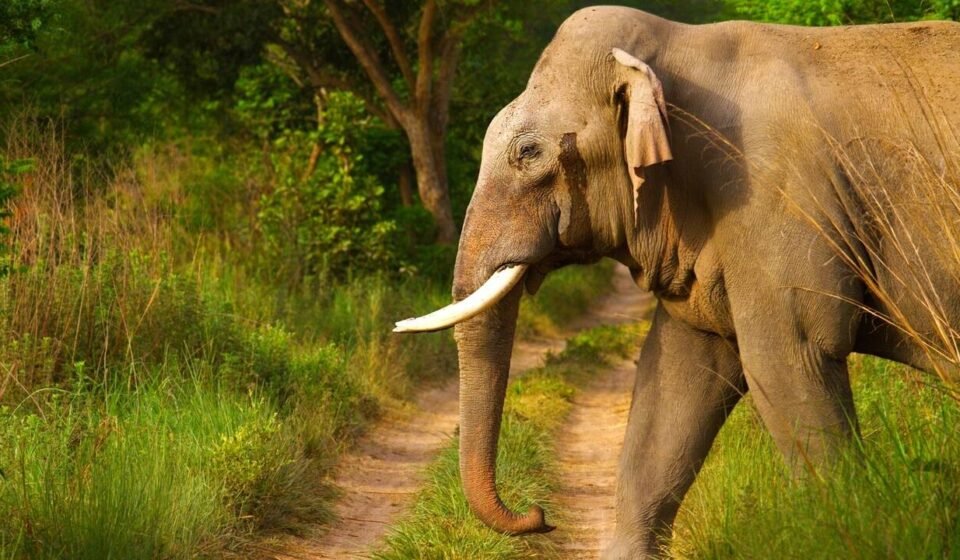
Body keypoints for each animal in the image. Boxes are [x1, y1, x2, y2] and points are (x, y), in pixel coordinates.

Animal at [395, 6, 960, 558]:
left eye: (528, 153)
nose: (539, 516)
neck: (678, 48)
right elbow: (677, 378)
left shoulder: (777, 196)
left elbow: (791, 359)